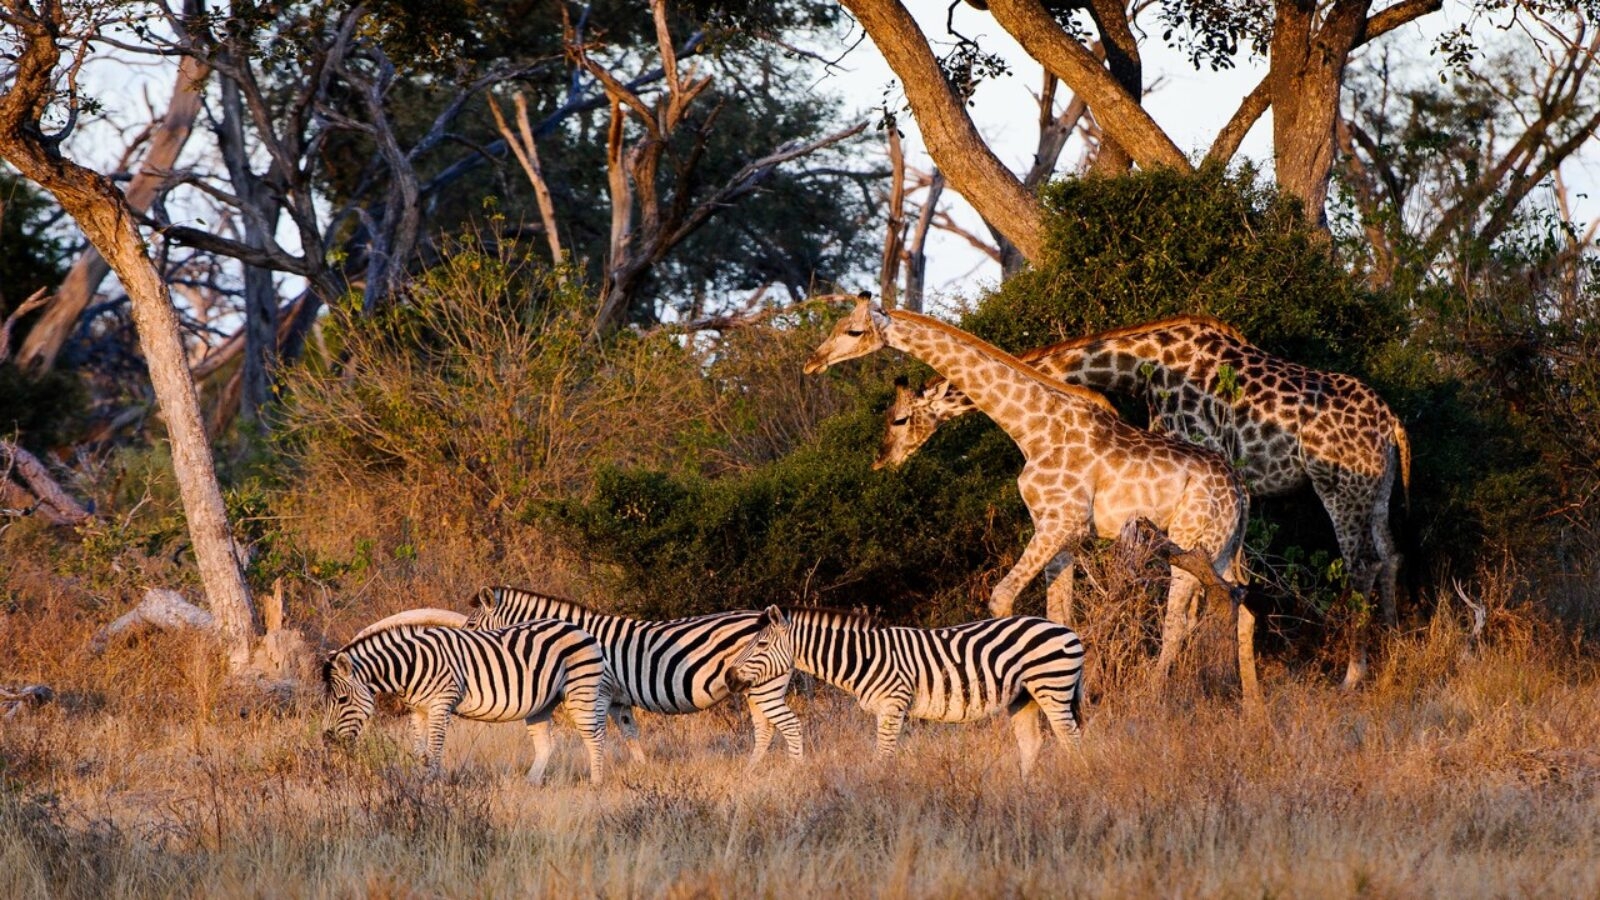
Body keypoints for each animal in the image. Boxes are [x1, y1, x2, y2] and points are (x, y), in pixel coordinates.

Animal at [322, 619, 612, 784]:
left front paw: (432, 784)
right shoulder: (418, 710)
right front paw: (418, 782)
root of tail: (579, 628)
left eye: (342, 699)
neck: (411, 664)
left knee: (595, 735)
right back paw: (530, 783)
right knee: (546, 744)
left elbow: (435, 748)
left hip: (581, 690)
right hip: (542, 704)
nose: (327, 740)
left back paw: (596, 782)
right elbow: (420, 750)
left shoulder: (441, 704)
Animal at [465, 587, 804, 764]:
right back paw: (752, 769)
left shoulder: (599, 690)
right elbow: (630, 734)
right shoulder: (618, 698)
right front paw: (643, 770)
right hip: (753, 687)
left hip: (764, 687)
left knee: (788, 725)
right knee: (766, 728)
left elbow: (597, 733)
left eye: (470, 625)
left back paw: (792, 769)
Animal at [762, 608, 1086, 774]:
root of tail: (1067, 630)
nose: (741, 678)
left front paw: (879, 791)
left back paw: (1075, 780)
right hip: (1024, 697)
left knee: (1071, 739)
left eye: (760, 644)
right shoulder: (889, 709)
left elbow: (884, 755)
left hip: (1052, 685)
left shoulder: (893, 704)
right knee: (1032, 743)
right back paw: (1025, 790)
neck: (864, 657)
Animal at [805, 297, 1259, 705]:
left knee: (1180, 620)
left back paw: (1154, 697)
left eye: (853, 331)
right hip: (1221, 548)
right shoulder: (1063, 533)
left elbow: (1002, 598)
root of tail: (1241, 491)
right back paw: (1250, 709)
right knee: (1241, 607)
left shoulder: (1060, 523)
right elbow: (1060, 616)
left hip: (1190, 537)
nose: (813, 361)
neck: (1032, 426)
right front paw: (1071, 701)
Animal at [875, 314, 1411, 687]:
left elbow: (1194, 601)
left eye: (899, 419)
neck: (1144, 366)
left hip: (1339, 485)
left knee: (1361, 563)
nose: (883, 461)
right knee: (1390, 554)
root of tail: (1392, 425)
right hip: (1379, 489)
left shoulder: (1197, 452)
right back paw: (1393, 649)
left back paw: (1353, 674)